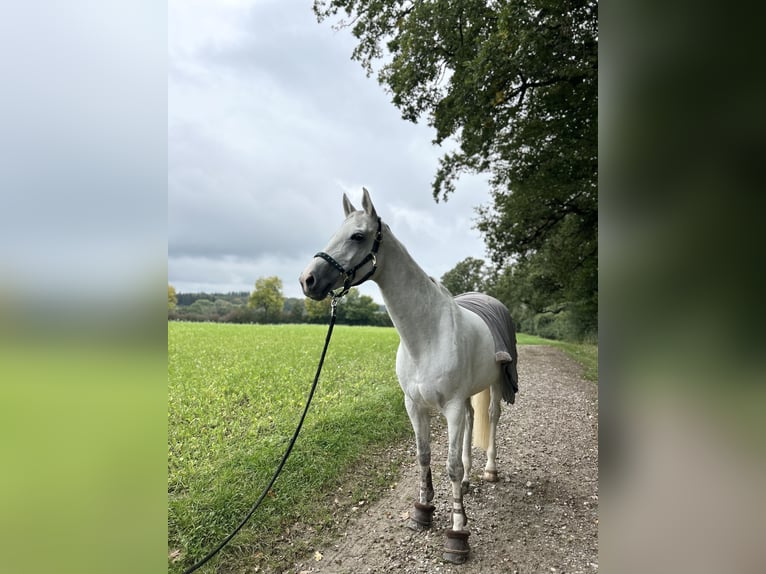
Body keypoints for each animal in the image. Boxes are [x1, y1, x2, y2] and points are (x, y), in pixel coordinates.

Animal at [298, 190, 516, 568]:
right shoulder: (414, 405)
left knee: (490, 418)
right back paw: (471, 480)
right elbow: (424, 456)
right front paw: (423, 511)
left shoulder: (450, 407)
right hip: (467, 396)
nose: (307, 280)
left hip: (494, 386)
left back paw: (489, 471)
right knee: (473, 421)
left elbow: (450, 466)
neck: (427, 335)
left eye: (357, 236)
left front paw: (458, 533)